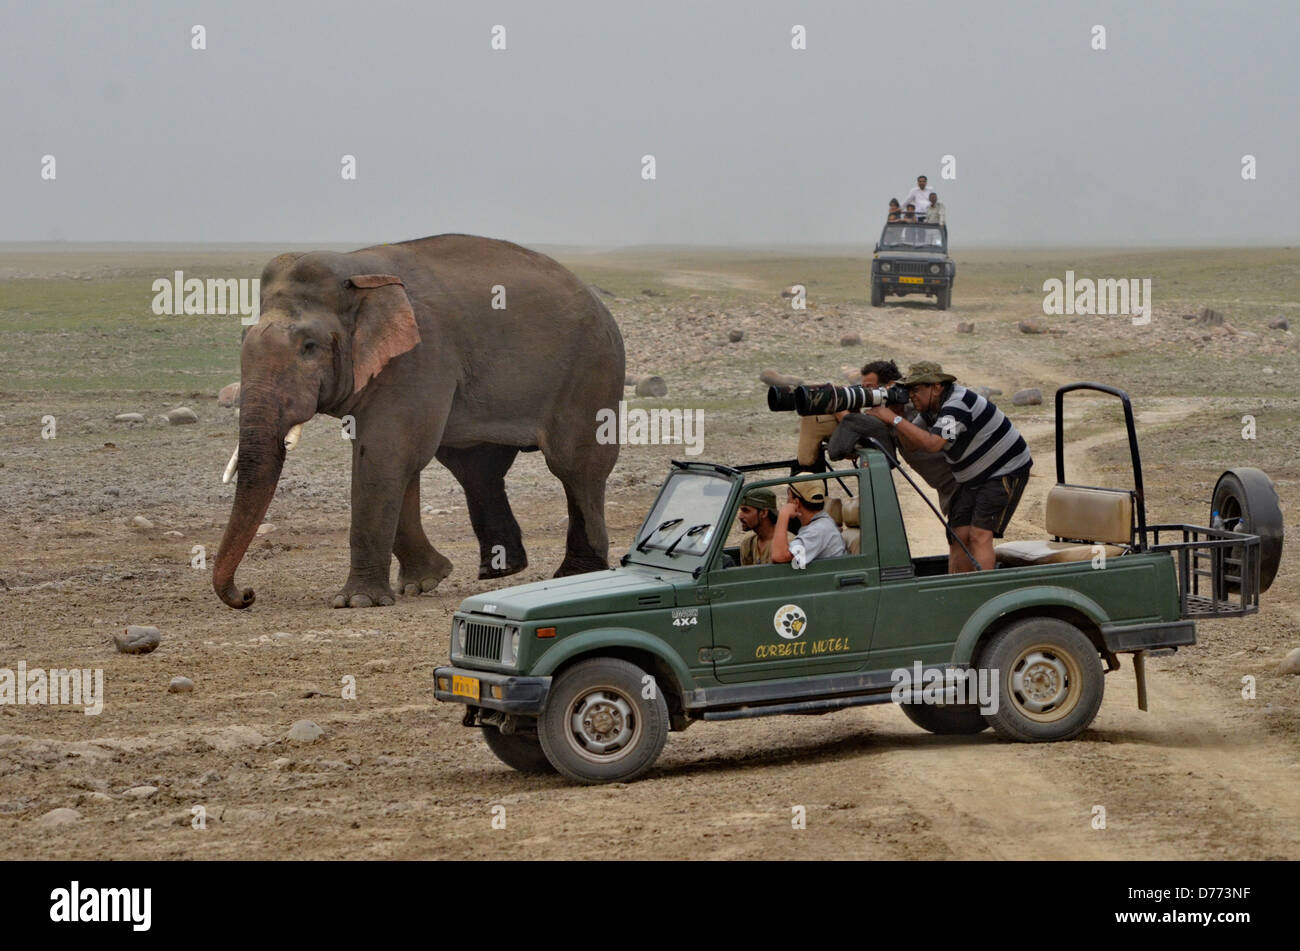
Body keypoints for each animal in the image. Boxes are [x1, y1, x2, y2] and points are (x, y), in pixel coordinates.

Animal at [211, 233, 624, 613]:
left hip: (593, 371)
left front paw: (357, 601)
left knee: (576, 468)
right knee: (475, 468)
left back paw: (575, 575)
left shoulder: (420, 356)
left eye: (309, 347)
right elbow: (396, 459)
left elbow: (385, 454)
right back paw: (500, 571)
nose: (246, 595)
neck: (358, 270)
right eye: (243, 340)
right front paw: (424, 582)